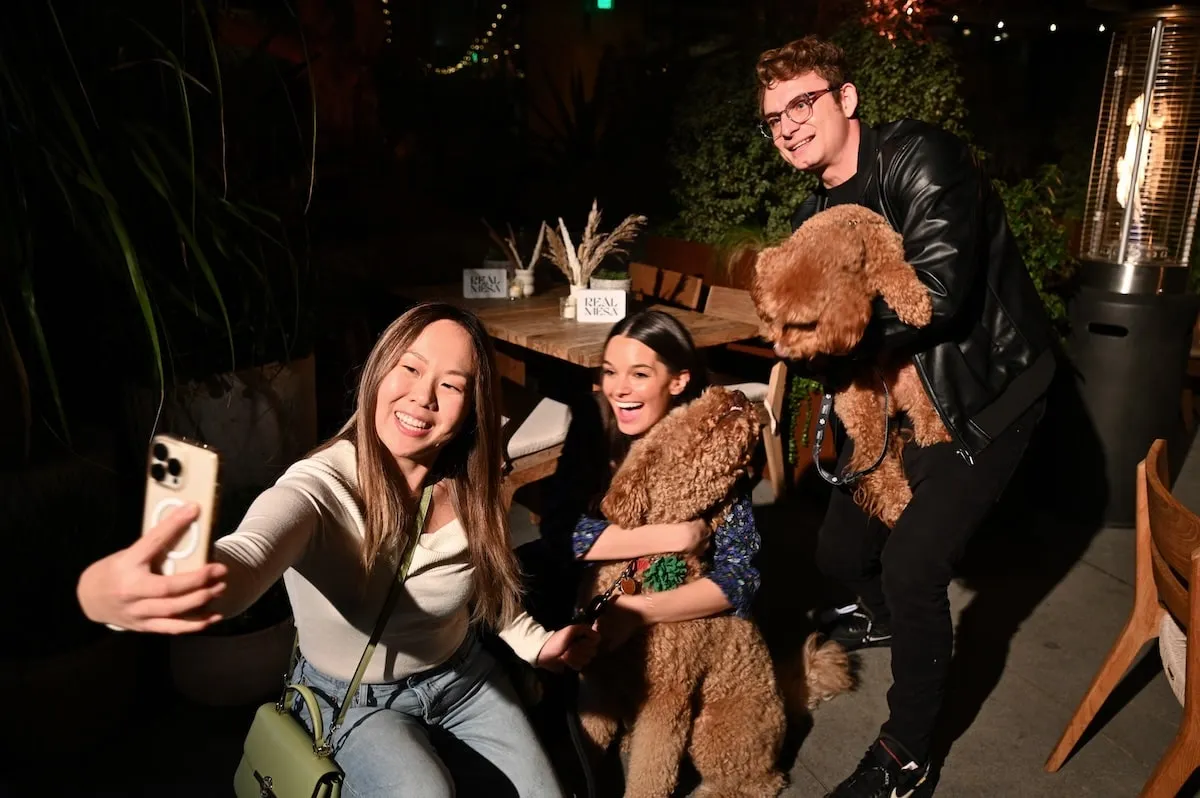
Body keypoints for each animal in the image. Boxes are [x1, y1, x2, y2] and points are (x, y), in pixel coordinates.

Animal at [573, 384, 849, 792]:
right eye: (684, 409)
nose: (732, 391)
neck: (642, 567)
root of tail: (789, 696)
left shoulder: (667, 695)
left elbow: (651, 771)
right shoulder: (599, 674)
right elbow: (588, 738)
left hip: (714, 732)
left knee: (759, 783)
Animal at [753, 202, 950, 525]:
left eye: (804, 324)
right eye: (775, 319)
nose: (780, 350)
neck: (846, 232)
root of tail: (891, 404)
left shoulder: (888, 249)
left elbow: (896, 270)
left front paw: (915, 304)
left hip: (911, 378)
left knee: (923, 406)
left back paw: (935, 431)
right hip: (860, 410)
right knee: (876, 463)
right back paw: (897, 502)